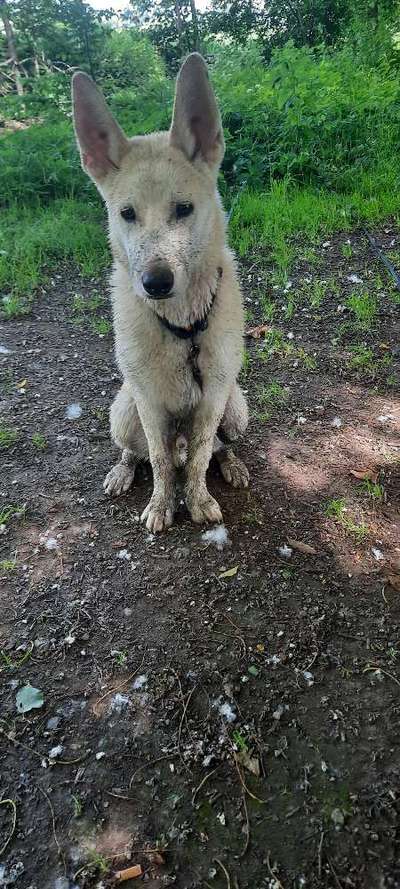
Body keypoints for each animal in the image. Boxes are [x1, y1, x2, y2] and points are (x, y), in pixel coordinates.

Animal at [71, 52, 247, 532]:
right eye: (127, 214)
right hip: (123, 409)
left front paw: (198, 498)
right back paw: (122, 471)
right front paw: (162, 504)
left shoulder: (213, 398)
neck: (183, 328)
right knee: (139, 452)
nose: (155, 283)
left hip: (236, 407)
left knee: (216, 446)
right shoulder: (148, 405)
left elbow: (202, 454)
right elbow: (161, 460)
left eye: (184, 209)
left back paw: (232, 463)